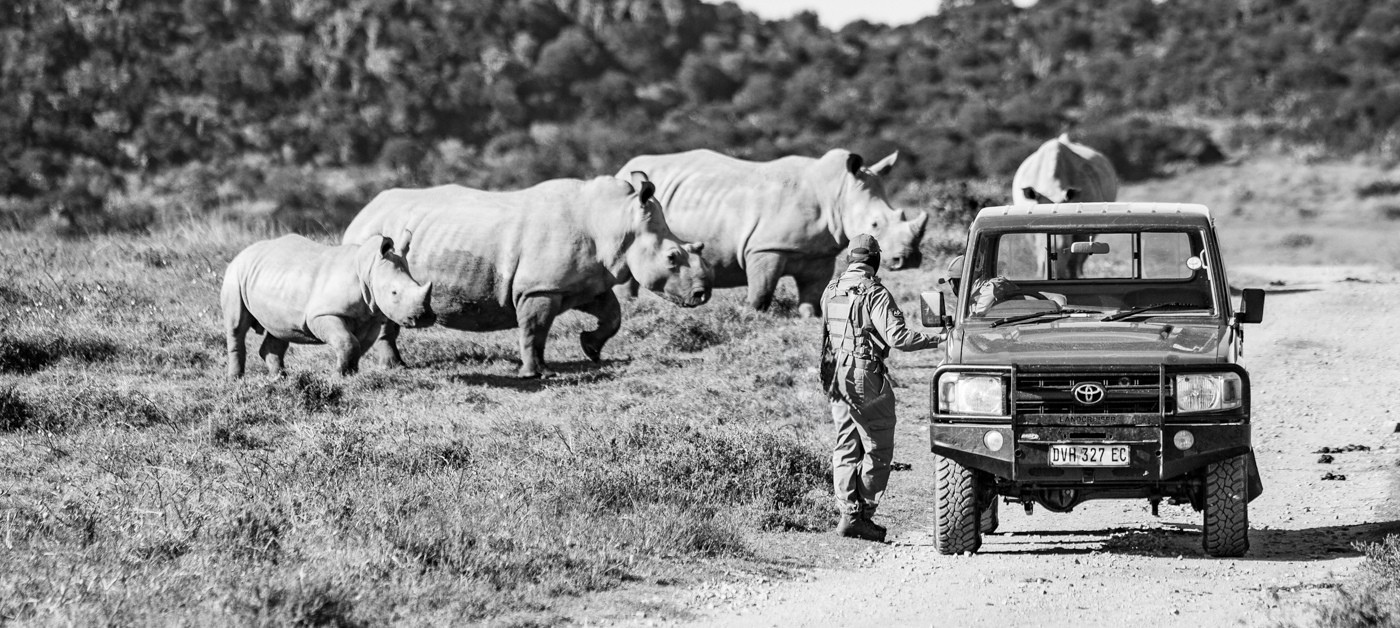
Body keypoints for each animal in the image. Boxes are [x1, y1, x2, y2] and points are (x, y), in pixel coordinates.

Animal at [222, 234, 434, 379]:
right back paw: (236, 379)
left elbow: (357, 345)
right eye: (394, 293)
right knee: (237, 327)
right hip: (235, 275)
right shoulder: (322, 315)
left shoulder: (370, 317)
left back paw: (280, 378)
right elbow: (347, 342)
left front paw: (350, 374)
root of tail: (241, 254)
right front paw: (339, 376)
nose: (424, 318)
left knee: (279, 331)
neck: (368, 270)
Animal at [341, 173, 711, 378]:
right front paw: (537, 374)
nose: (701, 295)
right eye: (672, 257)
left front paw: (590, 348)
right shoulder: (540, 288)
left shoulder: (586, 283)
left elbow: (613, 316)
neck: (615, 220)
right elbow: (535, 330)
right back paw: (395, 368)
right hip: (374, 243)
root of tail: (363, 211)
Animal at [615, 149, 928, 317]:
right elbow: (761, 292)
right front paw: (750, 315)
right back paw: (629, 307)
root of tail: (623, 169)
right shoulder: (766, 247)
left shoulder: (820, 254)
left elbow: (813, 293)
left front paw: (809, 315)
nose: (909, 259)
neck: (837, 192)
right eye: (874, 225)